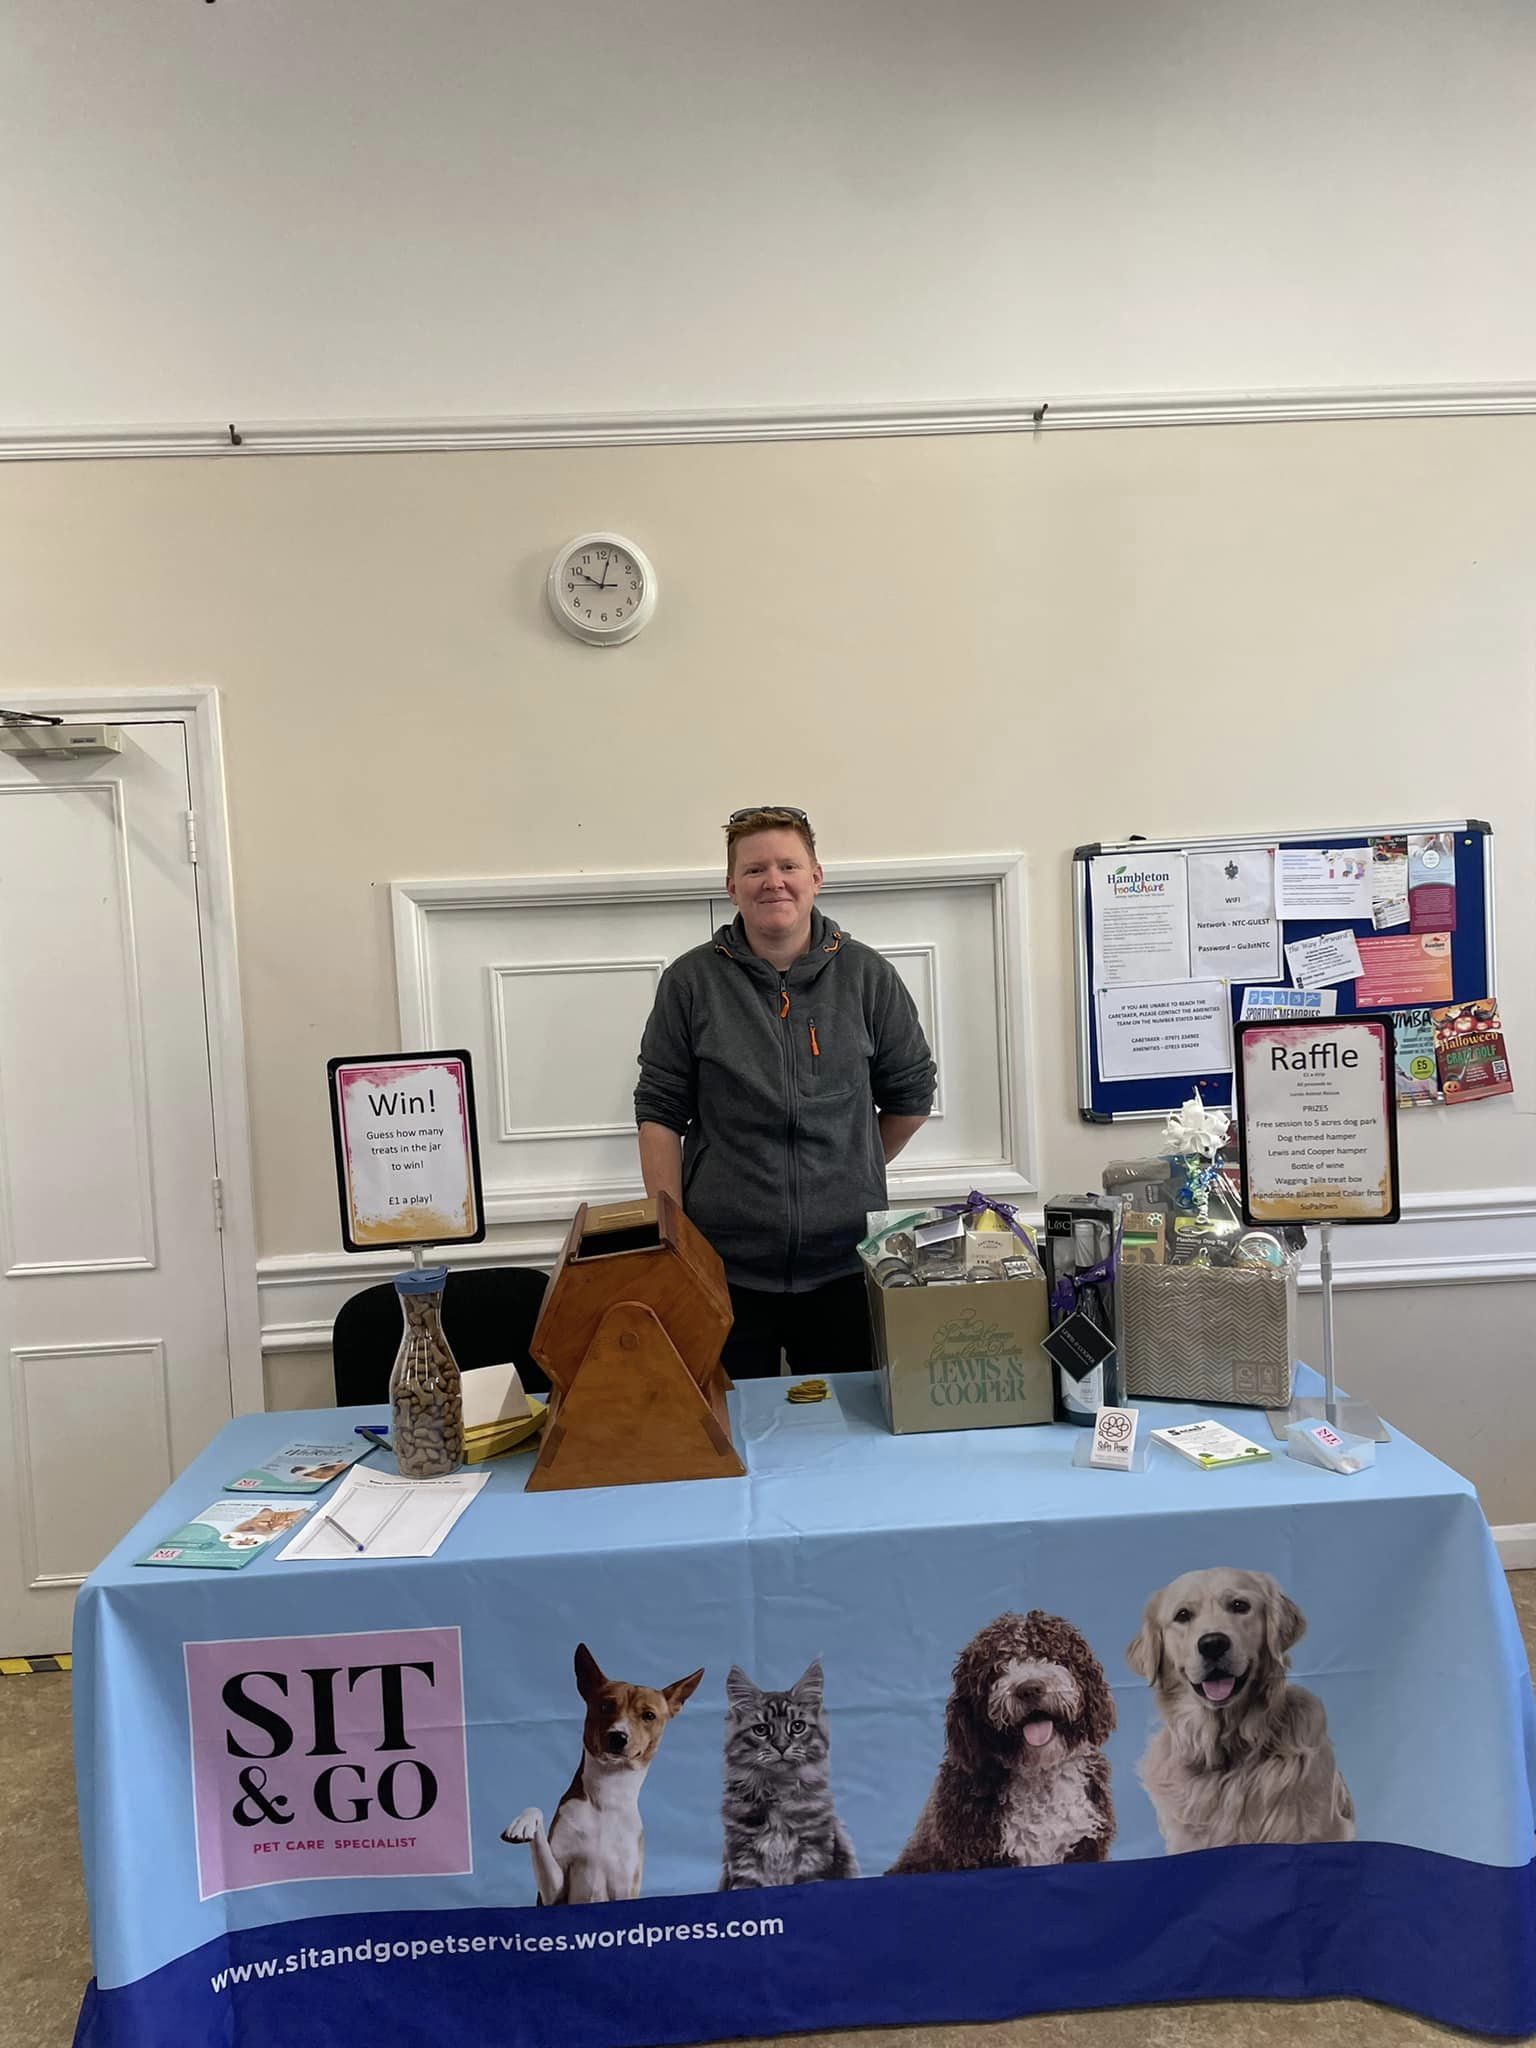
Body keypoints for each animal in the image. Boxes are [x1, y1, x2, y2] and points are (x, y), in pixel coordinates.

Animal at [501, 1643, 703, 1905]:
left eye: (648, 1715)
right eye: (606, 1706)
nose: (618, 1736)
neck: (607, 1797)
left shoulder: (625, 1885)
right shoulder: (554, 1892)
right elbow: (535, 1813)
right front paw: (523, 1823)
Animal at [719, 1660, 859, 1889]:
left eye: (797, 1726)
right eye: (761, 1730)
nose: (782, 1746)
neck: (778, 1790)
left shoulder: (814, 1854)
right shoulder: (743, 1857)